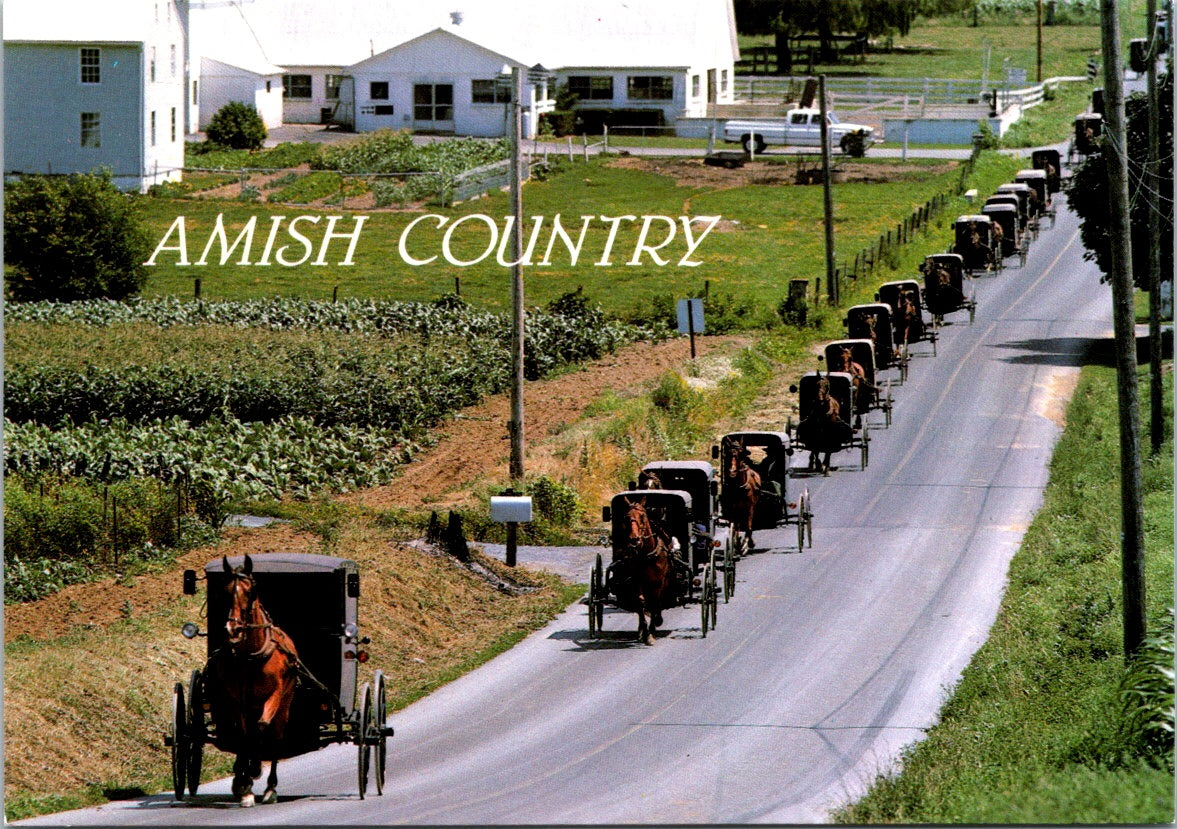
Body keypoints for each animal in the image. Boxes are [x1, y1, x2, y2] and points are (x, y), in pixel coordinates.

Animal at [208, 553, 298, 805]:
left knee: (275, 735)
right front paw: (243, 784)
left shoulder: (274, 695)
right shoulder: (237, 701)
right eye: (226, 590)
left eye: (251, 591)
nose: (234, 629)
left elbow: (262, 727)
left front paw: (254, 771)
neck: (251, 656)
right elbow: (243, 735)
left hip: (284, 704)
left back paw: (270, 787)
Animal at [607, 494, 673, 645]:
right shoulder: (636, 581)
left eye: (642, 516)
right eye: (626, 517)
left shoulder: (658, 583)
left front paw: (652, 632)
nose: (634, 539)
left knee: (658, 602)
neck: (646, 555)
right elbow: (640, 602)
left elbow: (655, 603)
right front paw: (644, 630)